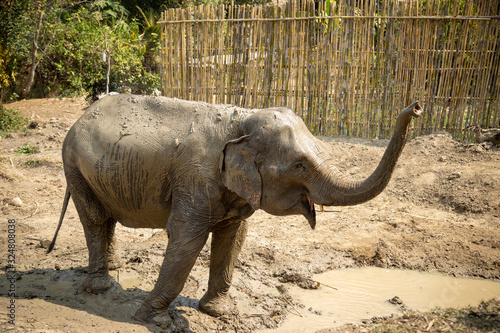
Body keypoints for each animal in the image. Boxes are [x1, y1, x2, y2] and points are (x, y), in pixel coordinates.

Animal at [47, 94, 422, 328]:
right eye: (299, 166)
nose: (416, 106)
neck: (240, 120)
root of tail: (80, 117)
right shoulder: (195, 178)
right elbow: (186, 238)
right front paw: (154, 320)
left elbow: (233, 237)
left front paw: (220, 313)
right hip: (73, 166)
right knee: (95, 219)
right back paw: (101, 287)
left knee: (106, 218)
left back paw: (115, 269)